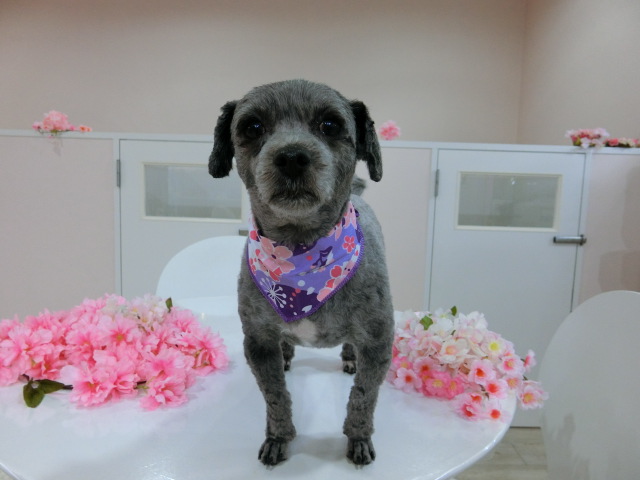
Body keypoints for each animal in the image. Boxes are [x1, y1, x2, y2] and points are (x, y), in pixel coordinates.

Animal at [208, 79, 394, 467]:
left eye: (330, 125)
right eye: (252, 127)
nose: (292, 156)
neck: (300, 256)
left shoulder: (379, 341)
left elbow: (364, 397)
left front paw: (358, 438)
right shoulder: (258, 342)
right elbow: (275, 397)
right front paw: (278, 437)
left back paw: (348, 357)